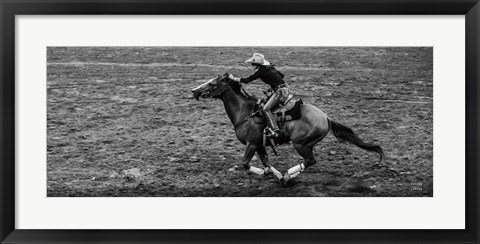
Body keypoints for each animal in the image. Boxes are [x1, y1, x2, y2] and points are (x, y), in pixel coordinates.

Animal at [191, 73, 382, 185]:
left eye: (212, 83)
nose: (194, 91)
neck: (245, 112)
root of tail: (326, 117)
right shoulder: (259, 145)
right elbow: (267, 164)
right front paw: (275, 174)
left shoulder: (251, 144)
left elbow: (246, 164)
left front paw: (276, 175)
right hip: (308, 144)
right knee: (310, 161)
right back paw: (287, 177)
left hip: (300, 144)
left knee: (310, 161)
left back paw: (289, 175)